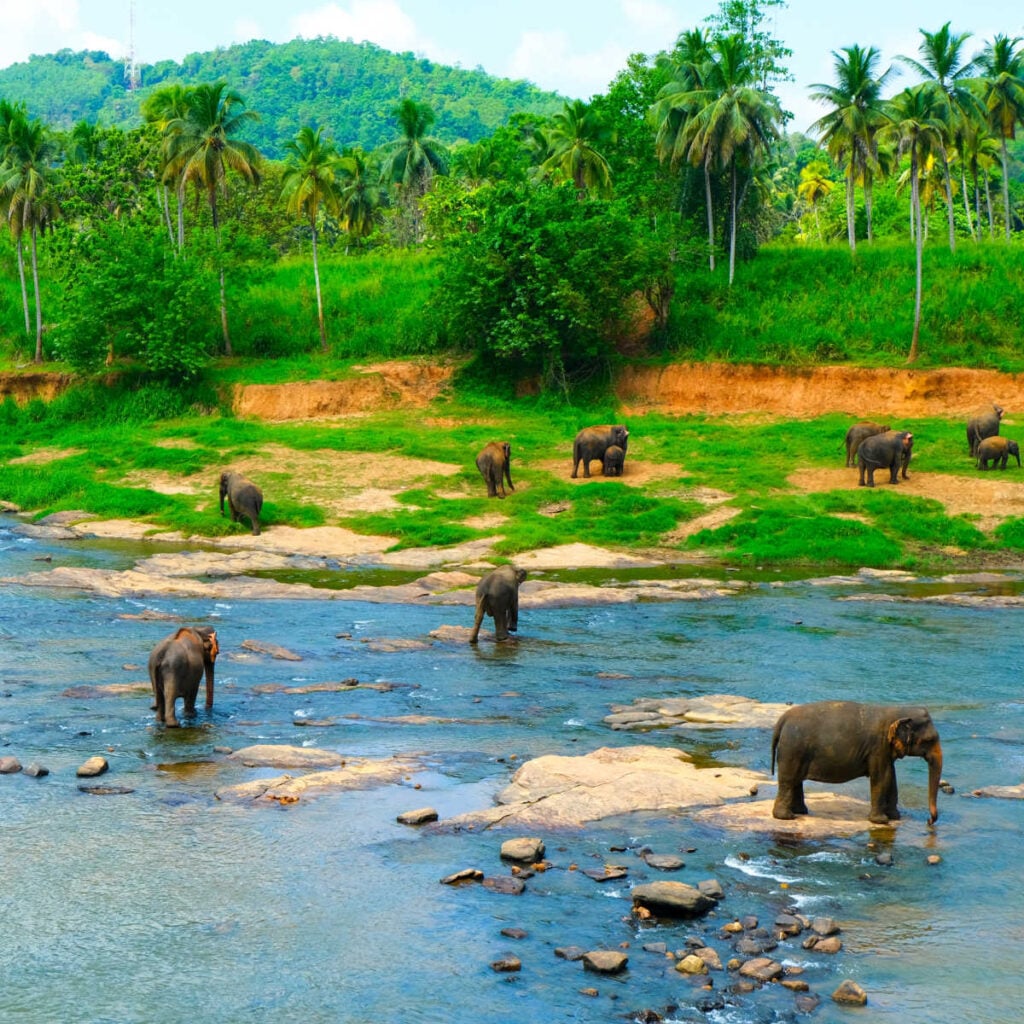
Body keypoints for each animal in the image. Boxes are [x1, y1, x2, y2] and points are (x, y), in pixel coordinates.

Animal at [771, 700, 943, 826]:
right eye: (929, 740)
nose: (929, 821)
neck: (896, 710)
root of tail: (783, 719)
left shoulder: (884, 750)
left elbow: (891, 777)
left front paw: (895, 817)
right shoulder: (878, 747)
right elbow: (883, 778)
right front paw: (881, 821)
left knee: (795, 780)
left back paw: (799, 812)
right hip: (793, 748)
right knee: (789, 780)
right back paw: (786, 817)